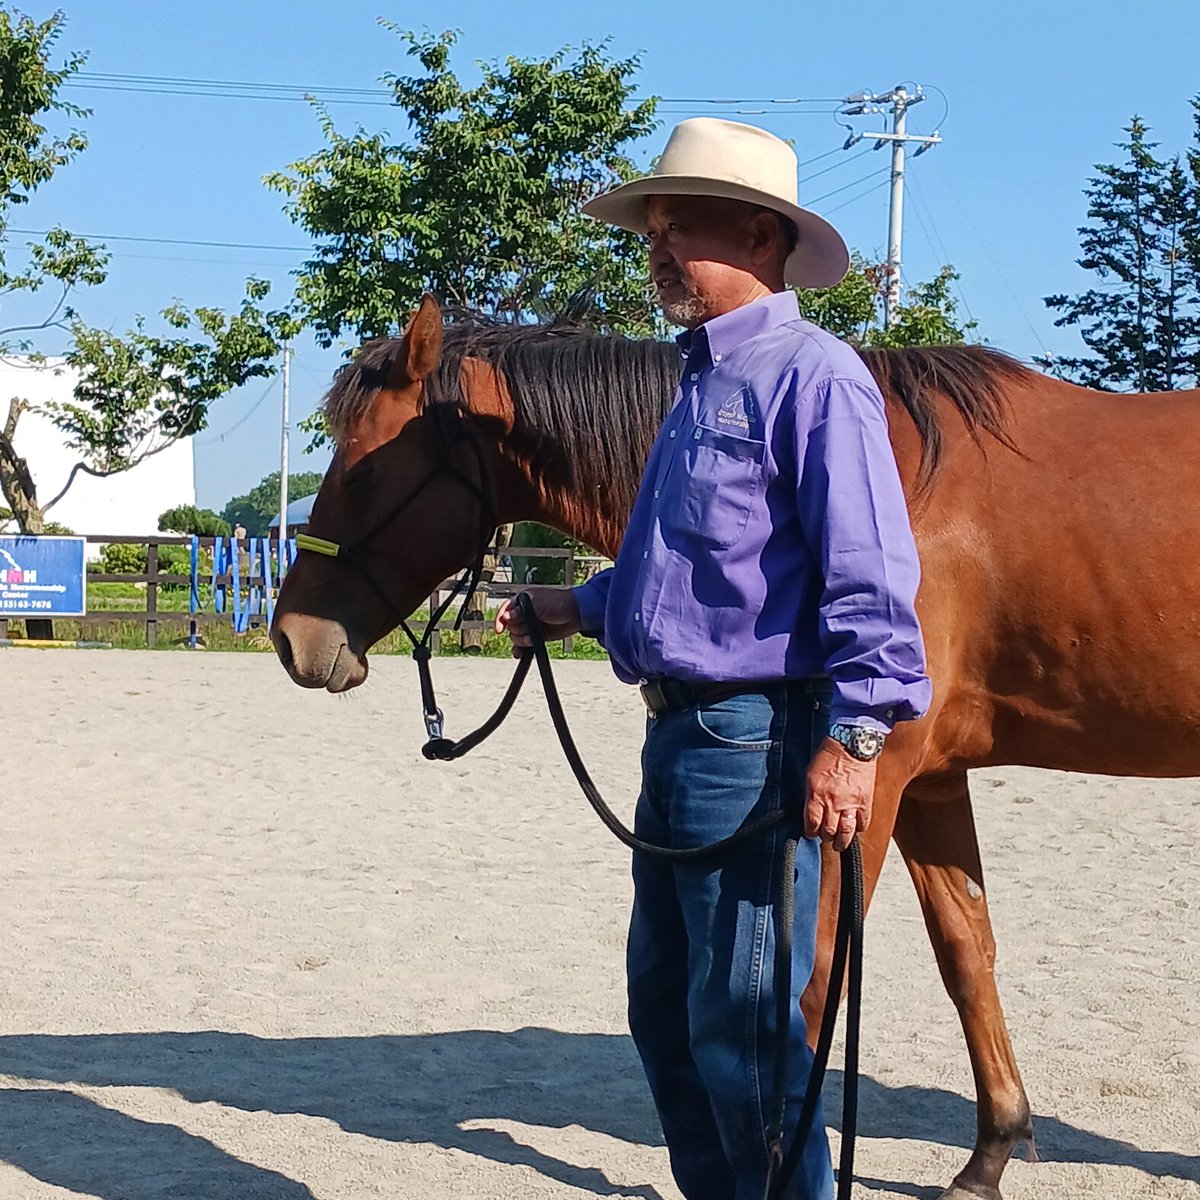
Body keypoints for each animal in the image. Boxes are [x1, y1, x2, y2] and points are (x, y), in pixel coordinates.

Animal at [271, 294, 1200, 1200]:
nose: (291, 639)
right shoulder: (931, 785)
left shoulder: (860, 795)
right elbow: (967, 955)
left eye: (365, 469)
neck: (895, 483)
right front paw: (990, 1156)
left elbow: (811, 988)